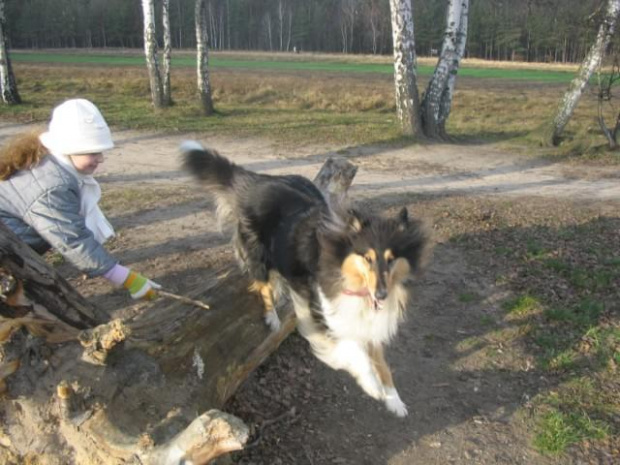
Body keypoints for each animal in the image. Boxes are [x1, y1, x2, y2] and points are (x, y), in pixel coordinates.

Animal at [182, 141, 428, 416]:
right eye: (367, 258)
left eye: (392, 258)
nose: (382, 295)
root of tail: (257, 181)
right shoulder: (320, 312)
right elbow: (353, 349)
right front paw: (372, 385)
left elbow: (381, 362)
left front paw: (394, 400)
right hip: (259, 256)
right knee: (261, 284)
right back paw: (272, 316)